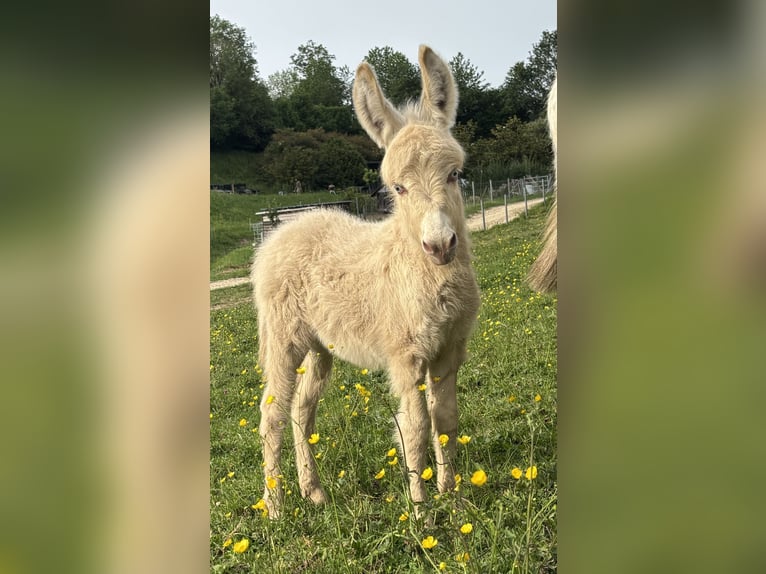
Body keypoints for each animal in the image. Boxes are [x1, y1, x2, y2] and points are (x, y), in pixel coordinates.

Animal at [251, 46, 480, 518]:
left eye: (455, 173)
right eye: (398, 187)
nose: (440, 245)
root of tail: (281, 232)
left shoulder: (449, 349)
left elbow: (446, 420)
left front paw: (453, 497)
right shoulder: (405, 354)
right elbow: (415, 425)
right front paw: (421, 511)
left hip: (320, 344)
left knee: (303, 408)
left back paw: (314, 492)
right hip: (283, 335)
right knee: (272, 412)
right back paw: (276, 506)